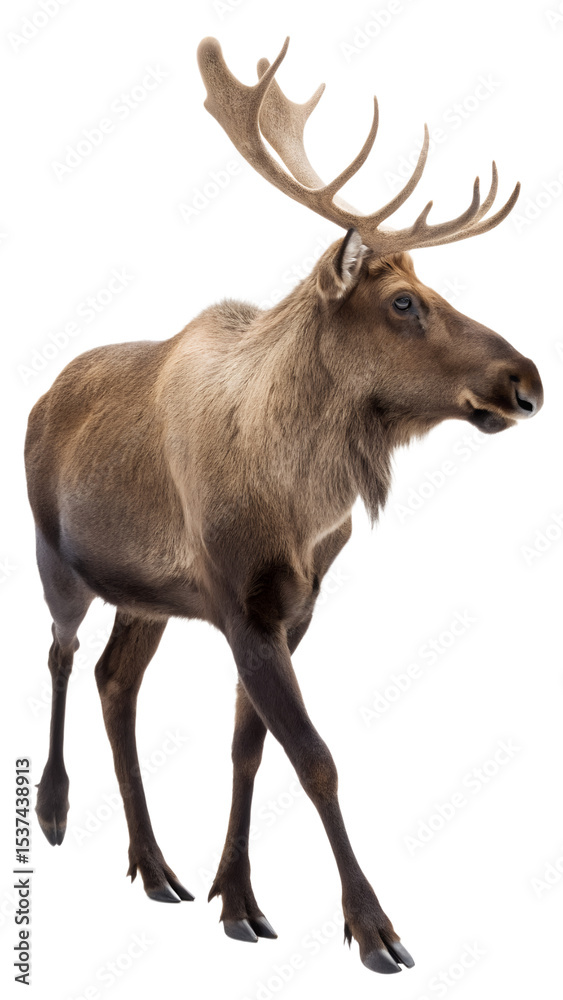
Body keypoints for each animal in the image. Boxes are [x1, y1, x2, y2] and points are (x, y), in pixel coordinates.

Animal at [24, 36, 543, 976]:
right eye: (404, 302)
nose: (525, 381)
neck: (297, 502)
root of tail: (42, 395)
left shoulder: (293, 607)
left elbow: (248, 749)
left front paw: (235, 898)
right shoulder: (240, 605)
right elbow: (315, 759)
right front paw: (374, 929)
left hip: (146, 597)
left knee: (115, 682)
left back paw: (155, 866)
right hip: (57, 560)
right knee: (59, 653)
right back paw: (53, 808)